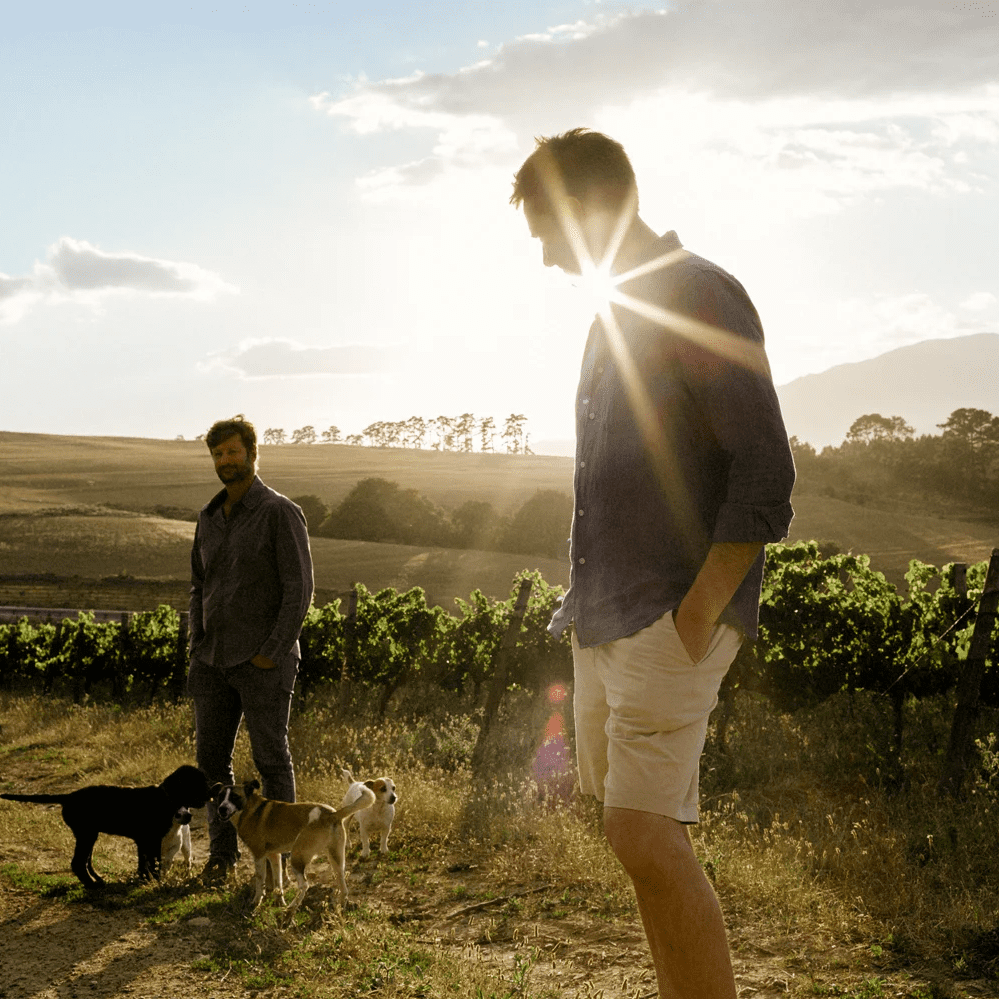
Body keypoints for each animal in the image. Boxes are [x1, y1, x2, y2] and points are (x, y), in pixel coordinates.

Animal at [0, 764, 211, 888]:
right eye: (198, 783)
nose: (211, 794)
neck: (165, 799)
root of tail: (68, 796)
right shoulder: (151, 841)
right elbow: (154, 863)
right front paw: (155, 881)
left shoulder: (143, 842)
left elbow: (144, 864)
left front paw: (143, 880)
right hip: (86, 835)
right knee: (77, 863)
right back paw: (93, 886)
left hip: (88, 835)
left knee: (84, 861)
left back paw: (97, 880)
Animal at [211, 778, 375, 914]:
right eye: (220, 796)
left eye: (235, 797)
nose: (222, 809)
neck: (249, 808)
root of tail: (331, 814)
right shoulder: (274, 855)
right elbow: (278, 881)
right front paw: (279, 901)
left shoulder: (259, 855)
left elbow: (260, 881)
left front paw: (256, 902)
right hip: (336, 859)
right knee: (343, 885)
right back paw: (340, 907)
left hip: (297, 857)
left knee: (304, 885)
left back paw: (291, 909)